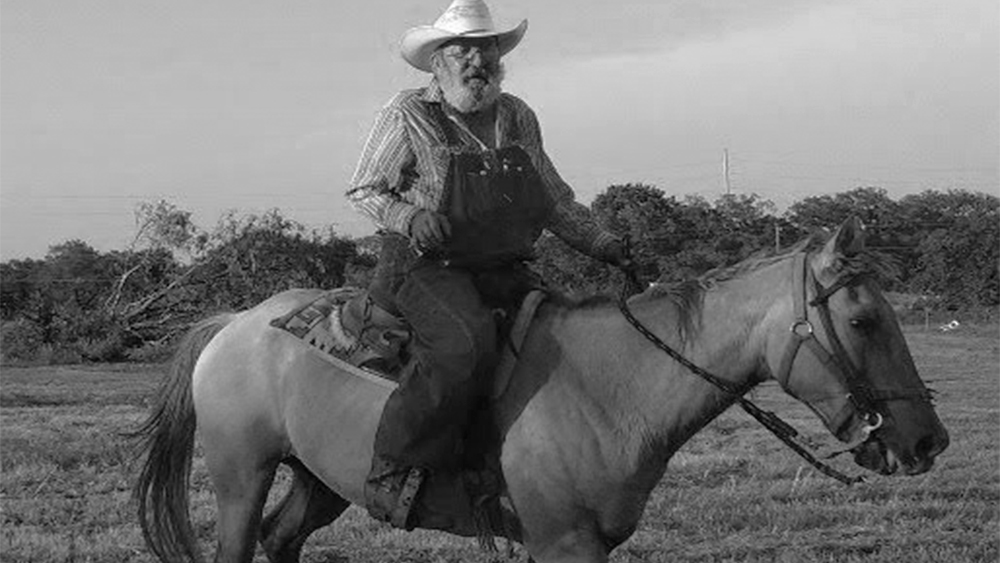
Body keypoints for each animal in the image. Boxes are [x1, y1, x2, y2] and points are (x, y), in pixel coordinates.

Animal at [131, 217, 944, 563]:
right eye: (864, 319)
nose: (926, 441)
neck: (614, 385)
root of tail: (237, 322)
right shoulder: (565, 543)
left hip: (319, 478)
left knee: (283, 539)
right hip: (241, 474)